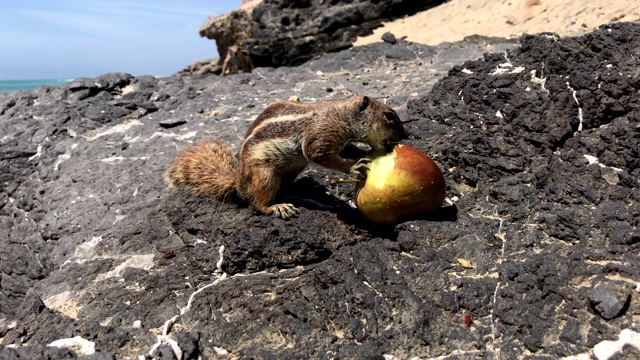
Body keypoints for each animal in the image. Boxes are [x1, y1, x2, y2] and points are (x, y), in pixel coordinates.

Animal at [164, 95, 404, 218]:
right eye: (389, 116)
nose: (407, 134)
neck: (340, 114)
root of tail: (239, 181)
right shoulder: (320, 135)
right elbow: (319, 154)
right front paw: (353, 167)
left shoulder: (340, 141)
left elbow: (347, 151)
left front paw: (362, 153)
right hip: (264, 176)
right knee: (256, 203)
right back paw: (276, 207)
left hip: (291, 170)